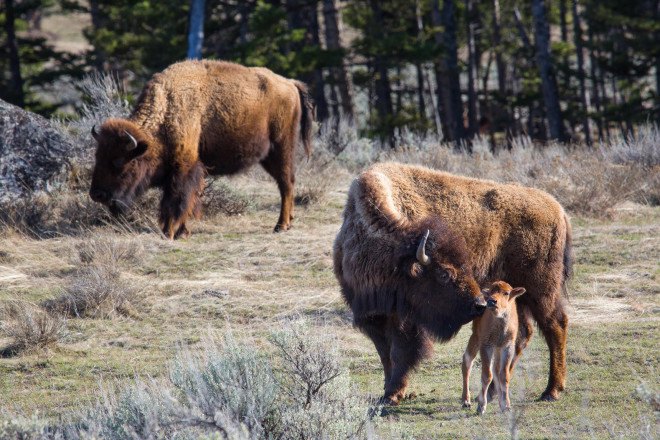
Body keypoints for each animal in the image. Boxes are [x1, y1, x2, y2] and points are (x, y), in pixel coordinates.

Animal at [89, 60, 313, 239]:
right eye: (97, 157)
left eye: (120, 162)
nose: (97, 195)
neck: (167, 110)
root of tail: (290, 83)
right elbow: (182, 199)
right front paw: (182, 232)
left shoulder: (184, 167)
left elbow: (176, 199)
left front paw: (169, 232)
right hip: (269, 155)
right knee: (286, 183)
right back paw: (288, 222)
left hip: (281, 148)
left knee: (286, 183)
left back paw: (280, 226)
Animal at [333, 162, 572, 404]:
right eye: (445, 274)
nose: (479, 305)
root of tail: (559, 210)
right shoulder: (373, 316)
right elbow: (385, 354)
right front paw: (389, 391)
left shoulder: (404, 321)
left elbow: (399, 352)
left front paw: (393, 393)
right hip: (516, 295)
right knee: (522, 334)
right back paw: (495, 391)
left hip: (541, 291)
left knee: (555, 326)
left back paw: (551, 390)